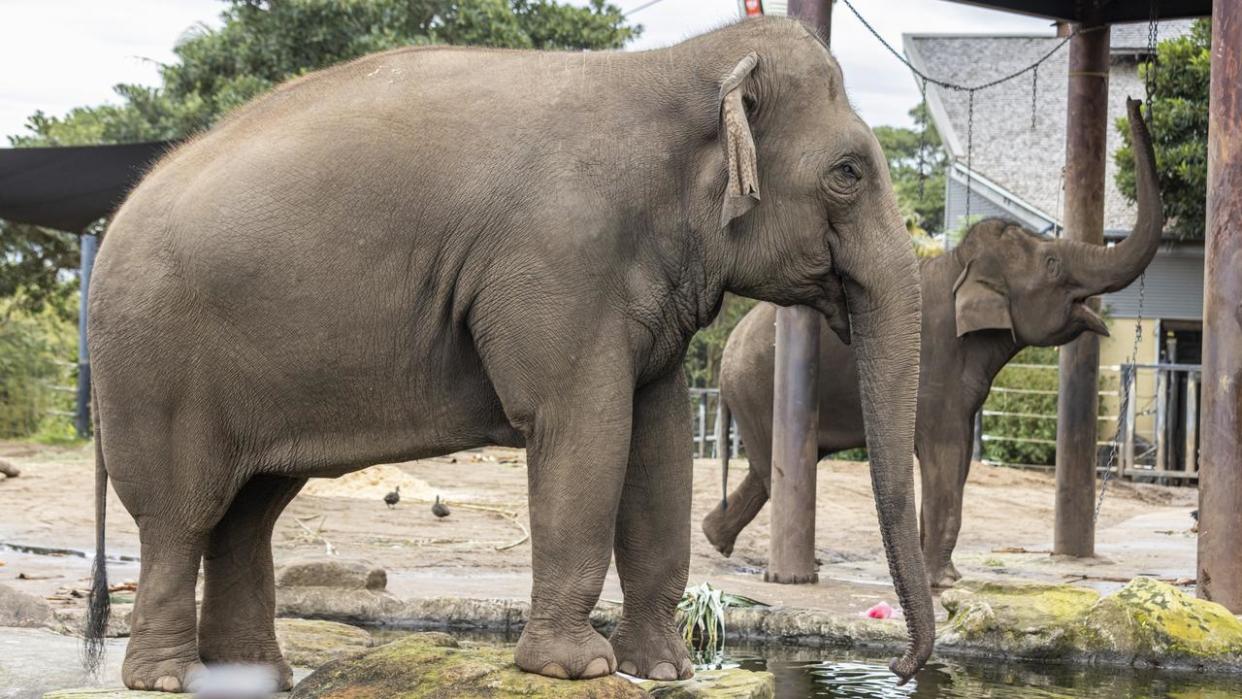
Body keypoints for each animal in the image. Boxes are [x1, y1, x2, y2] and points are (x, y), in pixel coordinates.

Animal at [85, 16, 933, 695]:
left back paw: (254, 678)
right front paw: (576, 667)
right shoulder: (558, 262)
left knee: (250, 509)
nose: (900, 667)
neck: (672, 67)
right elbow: (582, 428)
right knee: (183, 513)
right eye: (849, 173)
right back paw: (165, 678)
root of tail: (115, 218)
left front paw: (665, 670)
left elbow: (657, 444)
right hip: (155, 361)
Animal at [705, 96, 1157, 590]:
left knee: (765, 471)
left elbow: (958, 464)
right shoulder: (938, 369)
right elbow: (946, 455)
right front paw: (944, 582)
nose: (1135, 101)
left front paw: (943, 575)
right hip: (755, 388)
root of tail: (727, 350)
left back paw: (716, 540)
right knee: (769, 468)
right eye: (1054, 264)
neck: (960, 264)